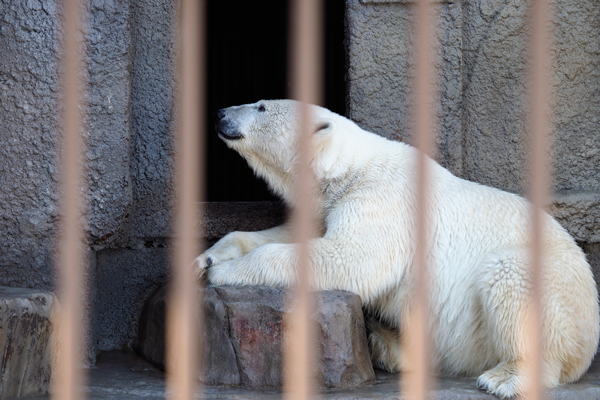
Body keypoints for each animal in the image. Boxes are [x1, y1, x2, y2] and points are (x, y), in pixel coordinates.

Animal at [195, 99, 596, 396]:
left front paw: (224, 272)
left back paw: (504, 378)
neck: (348, 170)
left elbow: (350, 257)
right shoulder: (327, 207)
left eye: (261, 106)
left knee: (512, 280)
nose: (220, 113)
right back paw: (383, 343)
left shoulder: (382, 199)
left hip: (552, 296)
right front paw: (207, 258)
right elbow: (287, 234)